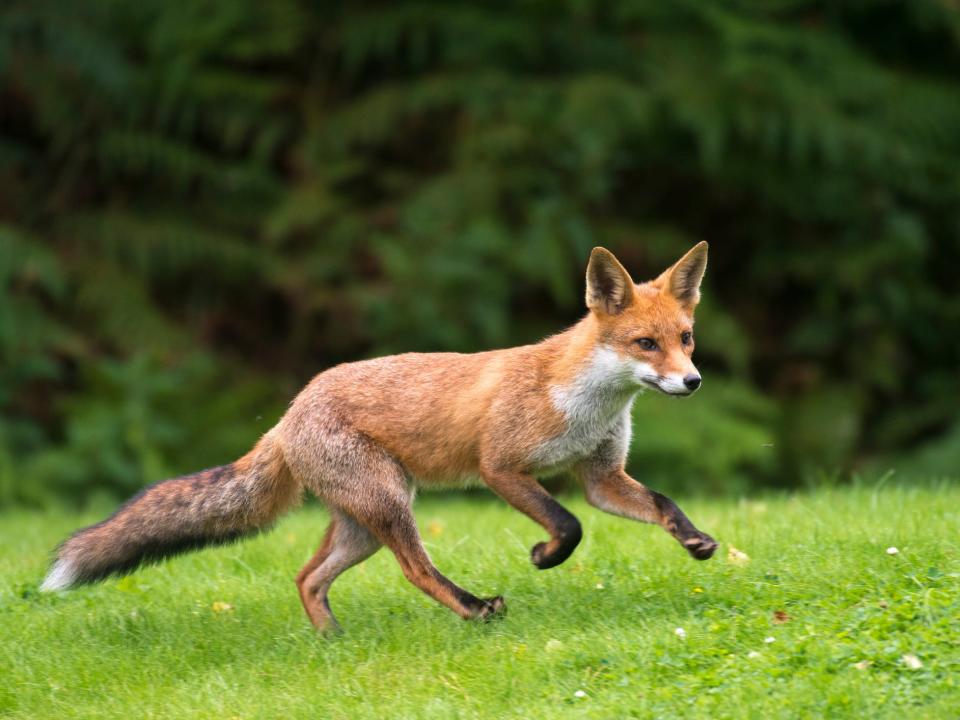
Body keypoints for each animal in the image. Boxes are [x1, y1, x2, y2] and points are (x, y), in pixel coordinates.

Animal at [41, 245, 716, 632]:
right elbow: (569, 525)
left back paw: (332, 643)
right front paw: (545, 556)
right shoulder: (500, 467)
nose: (692, 381)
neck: (584, 401)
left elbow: (660, 503)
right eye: (644, 344)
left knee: (307, 577)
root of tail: (289, 413)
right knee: (415, 570)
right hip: (391, 506)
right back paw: (473, 610)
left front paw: (695, 539)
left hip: (362, 524)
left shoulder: (602, 477)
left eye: (685, 338)